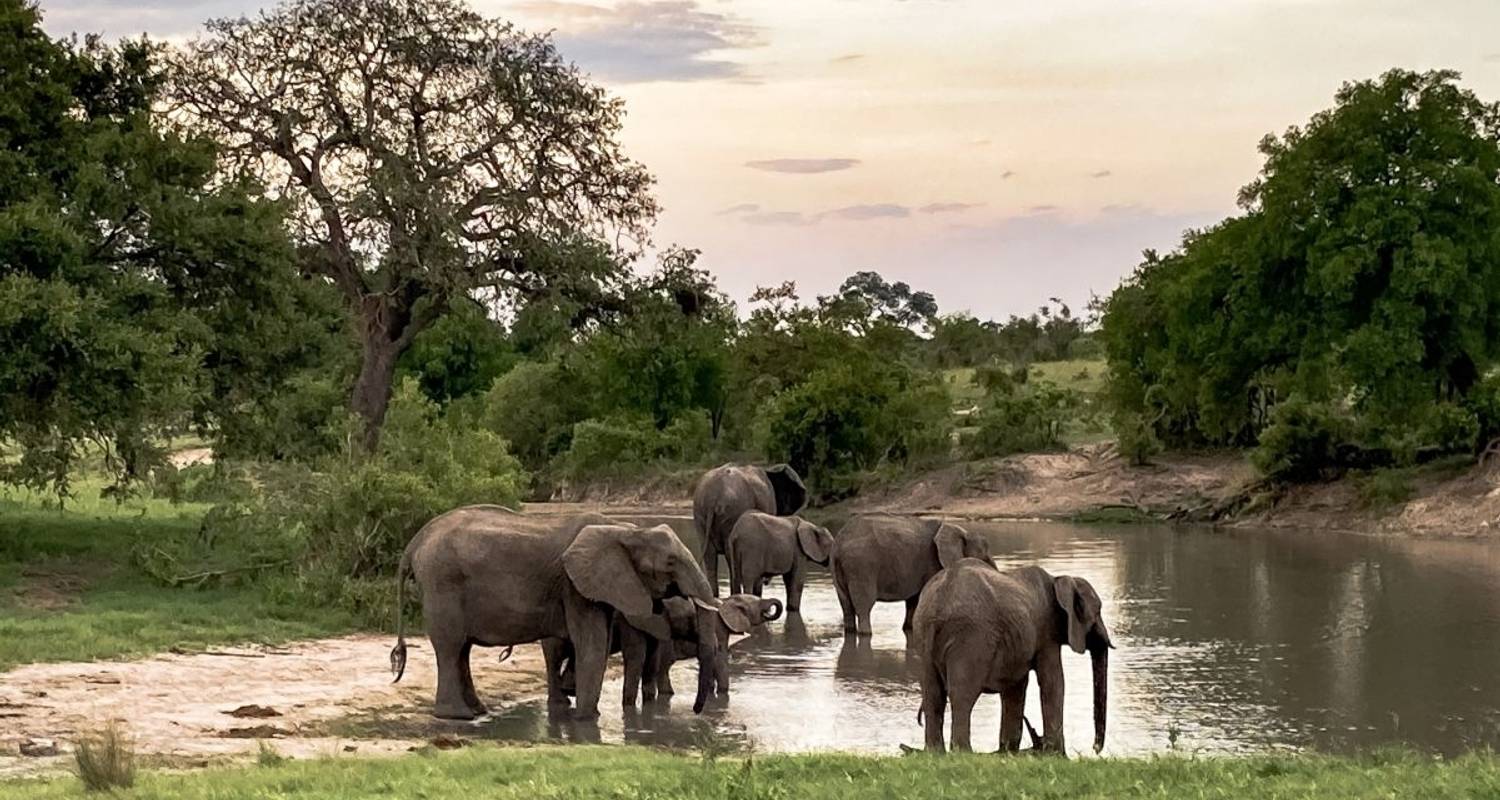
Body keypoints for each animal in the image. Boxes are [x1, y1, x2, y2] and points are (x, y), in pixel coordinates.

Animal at [387, 504, 714, 717]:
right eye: (670, 562)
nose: (697, 710)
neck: (623, 530)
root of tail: (416, 540)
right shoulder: (574, 585)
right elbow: (592, 644)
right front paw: (586, 720)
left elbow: (598, 641)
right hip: (443, 583)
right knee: (451, 646)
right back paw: (458, 716)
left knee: (461, 650)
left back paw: (477, 711)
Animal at [693, 462, 810, 591]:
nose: (767, 581)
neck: (771, 469)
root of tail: (713, 497)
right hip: (732, 511)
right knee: (730, 556)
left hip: (701, 513)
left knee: (710, 556)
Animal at [828, 510, 990, 636]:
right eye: (985, 558)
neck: (959, 530)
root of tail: (838, 544)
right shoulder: (932, 563)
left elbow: (913, 600)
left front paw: (908, 629)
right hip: (862, 567)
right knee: (864, 607)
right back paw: (866, 634)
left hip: (840, 569)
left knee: (846, 606)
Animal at [912, 558, 1116, 750]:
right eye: (1098, 611)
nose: (1094, 748)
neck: (1057, 579)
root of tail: (938, 602)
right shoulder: (1046, 633)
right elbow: (1053, 681)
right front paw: (1057, 754)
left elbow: (1016, 687)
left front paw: (1008, 750)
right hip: (970, 637)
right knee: (962, 695)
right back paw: (963, 752)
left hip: (923, 638)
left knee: (933, 694)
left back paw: (935, 752)